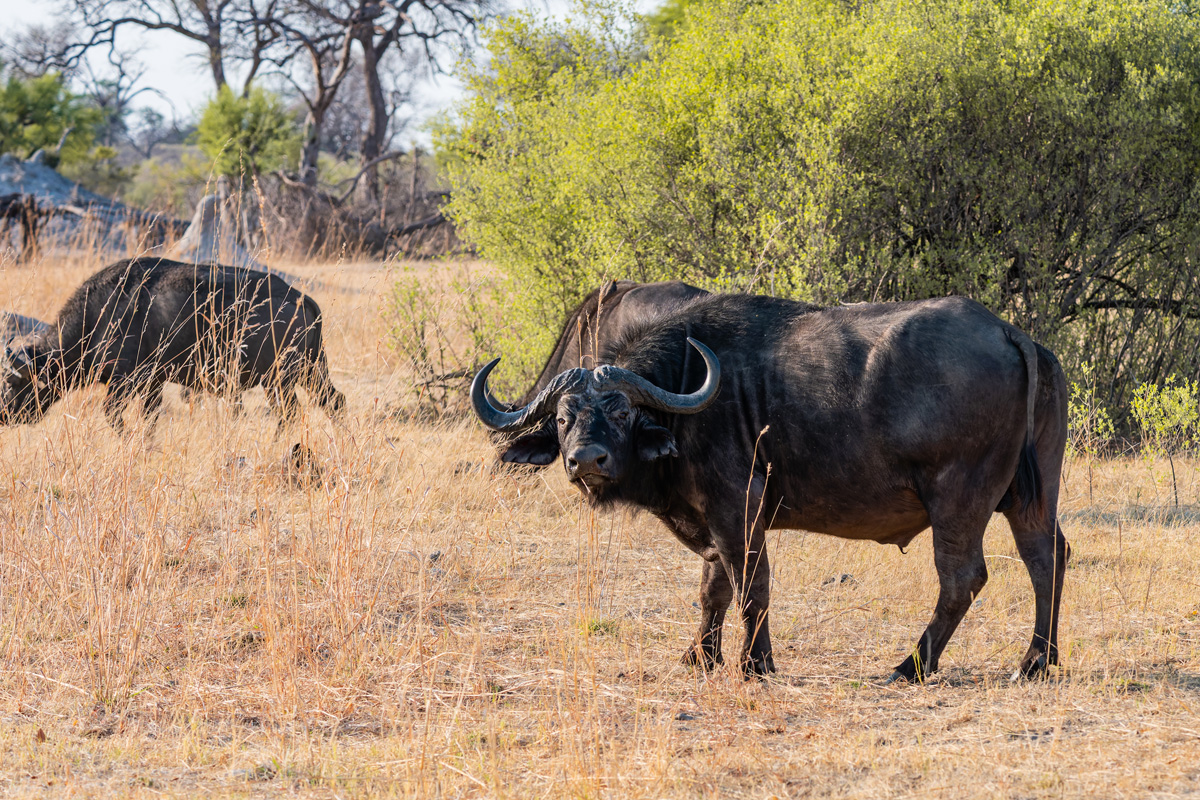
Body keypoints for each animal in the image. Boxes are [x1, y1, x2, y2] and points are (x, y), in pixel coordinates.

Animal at [1, 258, 345, 431]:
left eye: (13, 384)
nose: (3, 415)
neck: (103, 313)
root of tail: (299, 298)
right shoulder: (152, 385)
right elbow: (149, 419)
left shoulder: (125, 381)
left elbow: (112, 416)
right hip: (310, 372)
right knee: (333, 402)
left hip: (280, 379)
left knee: (290, 415)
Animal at [472, 294, 1068, 682]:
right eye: (564, 417)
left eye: (621, 412)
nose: (585, 461)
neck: (686, 394)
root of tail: (1008, 332)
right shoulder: (712, 519)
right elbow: (711, 589)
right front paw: (701, 656)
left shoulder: (738, 510)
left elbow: (750, 588)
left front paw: (754, 663)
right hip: (1032, 497)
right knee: (1048, 558)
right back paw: (1037, 660)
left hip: (957, 500)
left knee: (963, 579)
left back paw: (911, 666)